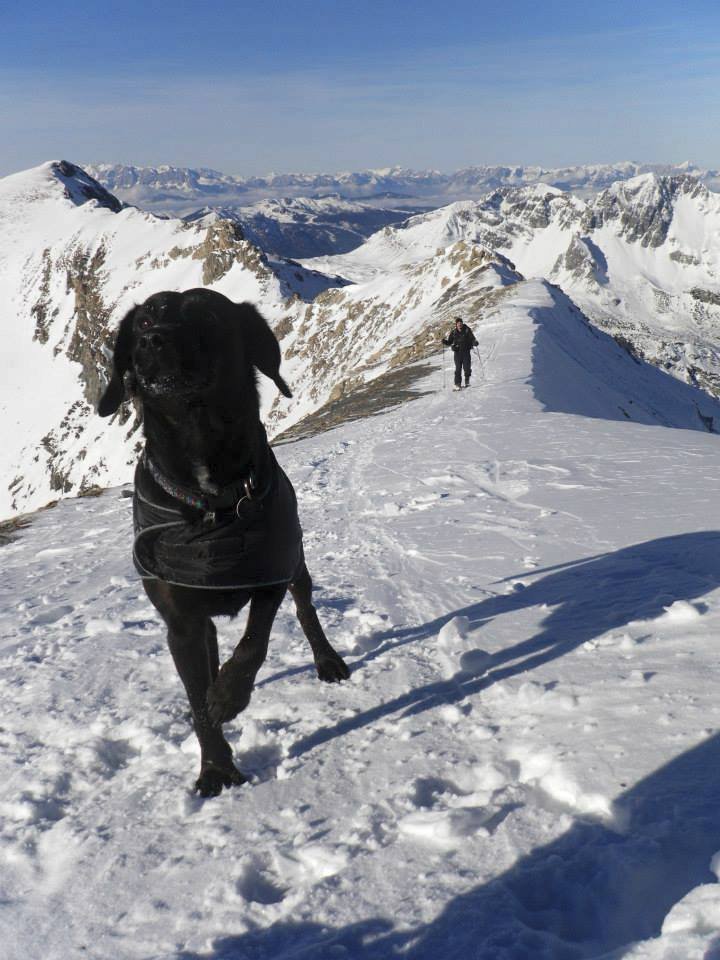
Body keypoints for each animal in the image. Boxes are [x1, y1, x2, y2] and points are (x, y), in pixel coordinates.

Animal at [100, 288, 350, 800]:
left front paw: (229, 698)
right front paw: (215, 767)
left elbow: (254, 643)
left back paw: (327, 659)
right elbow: (198, 695)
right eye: (144, 320)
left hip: (297, 566)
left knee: (305, 609)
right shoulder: (180, 619)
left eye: (209, 316)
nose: (152, 341)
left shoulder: (270, 573)